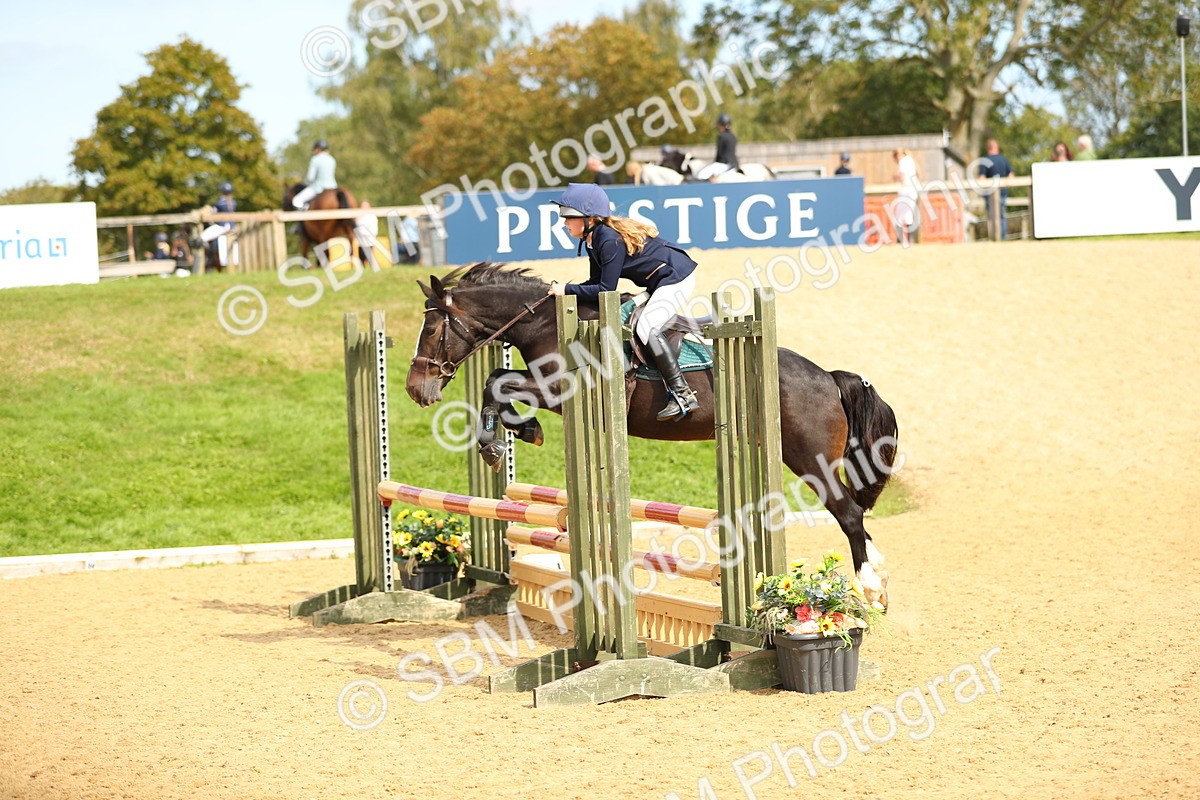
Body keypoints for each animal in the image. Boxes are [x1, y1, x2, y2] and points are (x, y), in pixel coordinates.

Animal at [405, 263, 899, 606]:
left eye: (431, 329)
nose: (415, 389)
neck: (544, 322)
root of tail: (828, 377)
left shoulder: (560, 390)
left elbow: (498, 382)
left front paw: (506, 438)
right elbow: (497, 379)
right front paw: (513, 433)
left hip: (811, 459)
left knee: (849, 513)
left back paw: (873, 588)